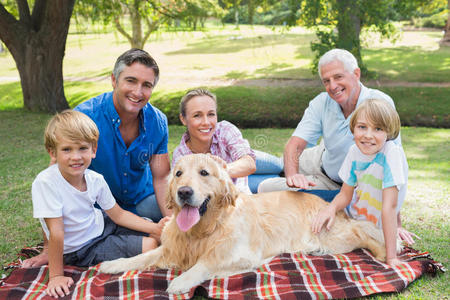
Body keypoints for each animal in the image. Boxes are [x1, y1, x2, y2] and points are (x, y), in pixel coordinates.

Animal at [97, 154, 390, 294]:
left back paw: (386, 251)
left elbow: (206, 262)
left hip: (334, 237)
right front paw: (113, 264)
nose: (184, 192)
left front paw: (182, 280)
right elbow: (141, 256)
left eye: (204, 173)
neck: (204, 229)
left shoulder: (241, 255)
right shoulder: (172, 247)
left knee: (364, 230)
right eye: (178, 174)